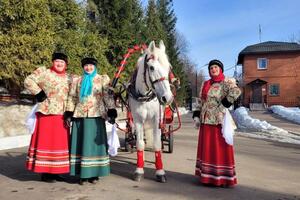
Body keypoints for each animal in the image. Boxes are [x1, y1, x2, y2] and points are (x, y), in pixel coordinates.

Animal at [128, 40, 173, 183]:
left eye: (168, 68)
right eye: (152, 68)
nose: (168, 98)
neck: (145, 97)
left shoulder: (157, 120)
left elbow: (157, 145)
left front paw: (160, 172)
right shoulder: (138, 120)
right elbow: (140, 144)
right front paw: (139, 170)